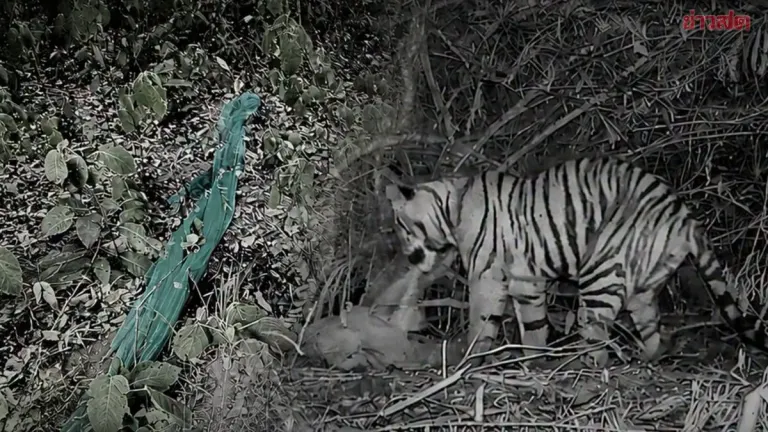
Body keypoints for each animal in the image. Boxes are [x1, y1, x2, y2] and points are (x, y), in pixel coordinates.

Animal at [385, 156, 767, 367]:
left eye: (402, 226)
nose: (410, 256)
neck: (452, 207)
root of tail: (684, 216)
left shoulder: (487, 276)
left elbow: (480, 322)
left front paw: (470, 358)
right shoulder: (526, 280)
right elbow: (534, 324)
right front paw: (533, 359)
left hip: (600, 271)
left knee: (596, 338)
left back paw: (580, 369)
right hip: (642, 286)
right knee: (652, 332)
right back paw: (644, 360)